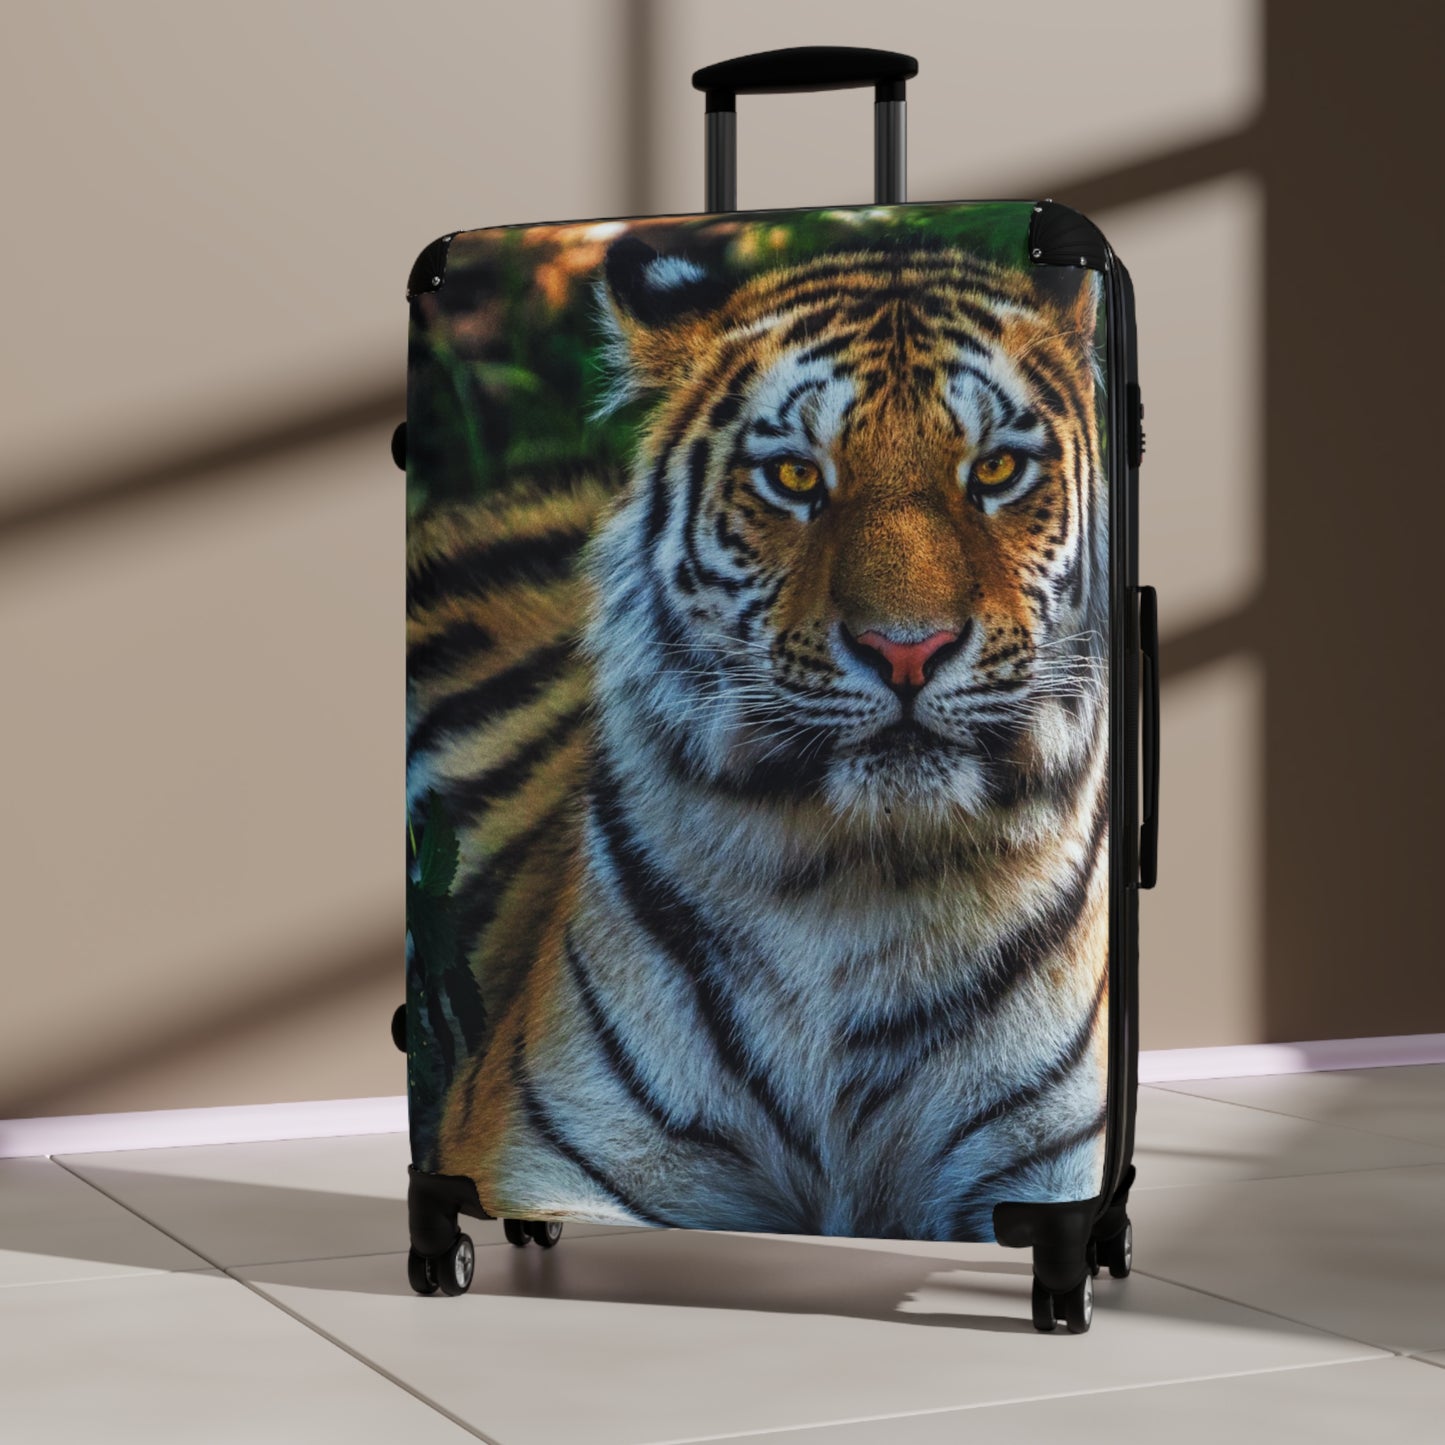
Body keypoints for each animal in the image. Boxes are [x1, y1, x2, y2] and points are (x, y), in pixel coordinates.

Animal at [406, 233, 1111, 1241]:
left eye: (993, 472)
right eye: (795, 478)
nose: (907, 649)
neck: (861, 888)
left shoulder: (1057, 1162)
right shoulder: (544, 1152)